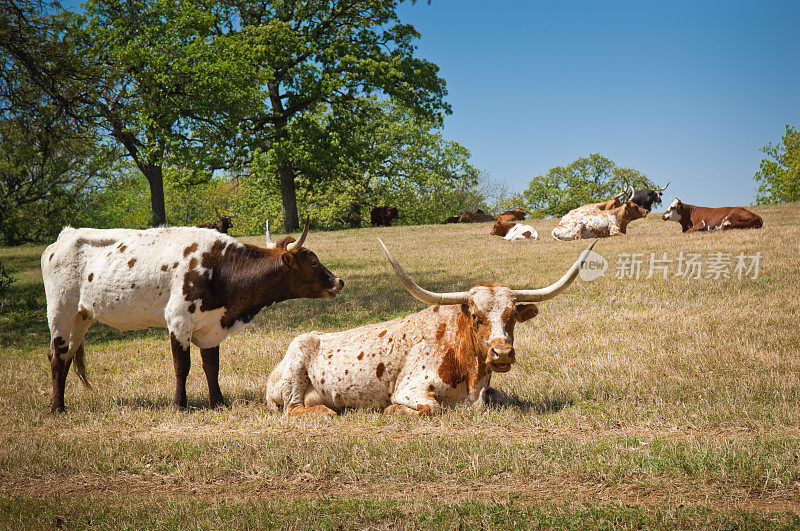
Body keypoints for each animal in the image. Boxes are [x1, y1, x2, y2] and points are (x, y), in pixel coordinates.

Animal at [43, 218, 344, 414]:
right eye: (313, 261)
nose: (338, 282)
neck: (219, 268)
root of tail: (63, 238)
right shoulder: (179, 322)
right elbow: (182, 366)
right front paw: (180, 404)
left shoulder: (212, 327)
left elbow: (211, 367)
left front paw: (218, 402)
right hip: (60, 312)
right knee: (57, 357)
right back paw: (57, 408)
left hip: (81, 317)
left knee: (67, 356)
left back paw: (61, 402)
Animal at [264, 239, 592, 418]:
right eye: (476, 316)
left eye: (511, 316)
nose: (502, 353)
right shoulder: (411, 389)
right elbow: (433, 408)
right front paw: (391, 411)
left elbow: (503, 397)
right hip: (296, 369)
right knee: (293, 408)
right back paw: (326, 412)